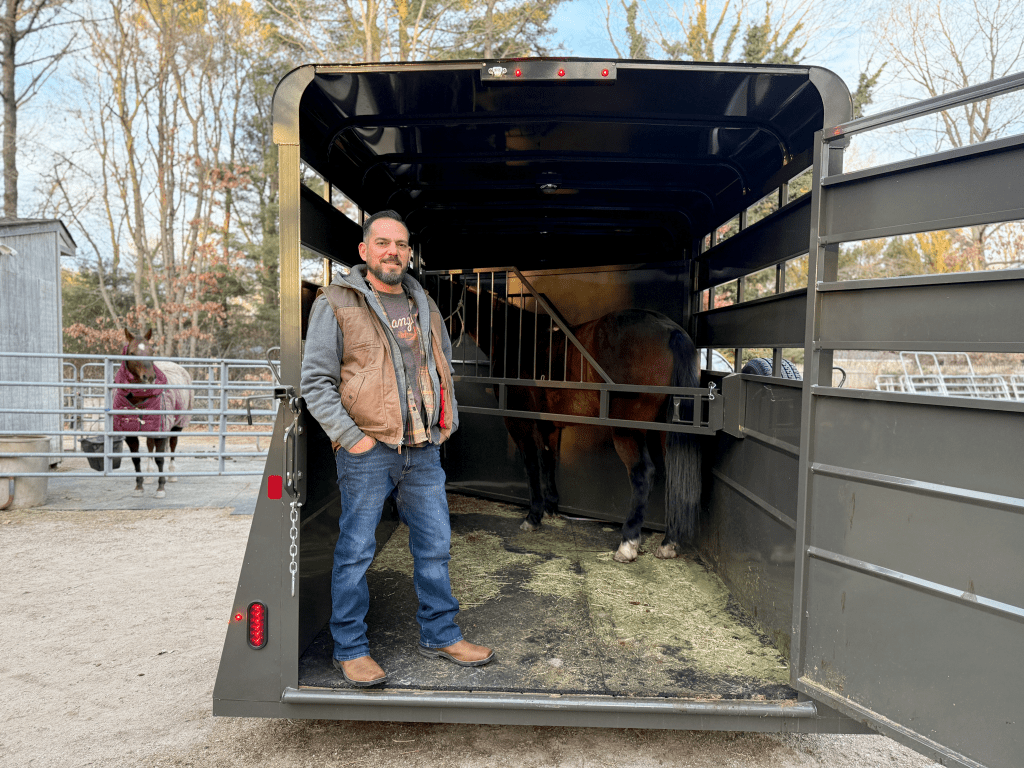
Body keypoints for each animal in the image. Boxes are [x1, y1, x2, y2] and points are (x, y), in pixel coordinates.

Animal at [115, 328, 194, 498]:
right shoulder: (131, 434)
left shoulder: (161, 430)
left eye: (152, 351)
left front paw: (161, 488)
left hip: (177, 425)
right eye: (132, 353)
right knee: (150, 446)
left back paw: (172, 475)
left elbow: (160, 459)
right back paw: (149, 475)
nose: (149, 377)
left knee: (173, 446)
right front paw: (139, 487)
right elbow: (136, 459)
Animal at [433, 277, 702, 563]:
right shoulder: (547, 424)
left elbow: (531, 464)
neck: (518, 339)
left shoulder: (519, 422)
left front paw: (533, 517)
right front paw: (551, 507)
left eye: (439, 302)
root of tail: (670, 331)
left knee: (642, 473)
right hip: (666, 430)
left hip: (628, 430)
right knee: (675, 476)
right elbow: (548, 459)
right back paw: (669, 543)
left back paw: (628, 544)